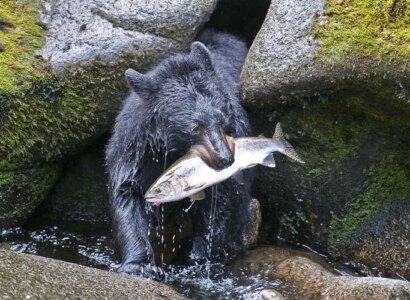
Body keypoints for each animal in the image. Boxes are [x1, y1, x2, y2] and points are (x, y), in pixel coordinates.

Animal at [105, 30, 256, 278]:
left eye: (222, 117)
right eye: (195, 127)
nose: (225, 159)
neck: (176, 150)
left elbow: (225, 199)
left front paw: (200, 256)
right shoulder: (138, 151)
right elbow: (127, 194)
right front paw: (140, 265)